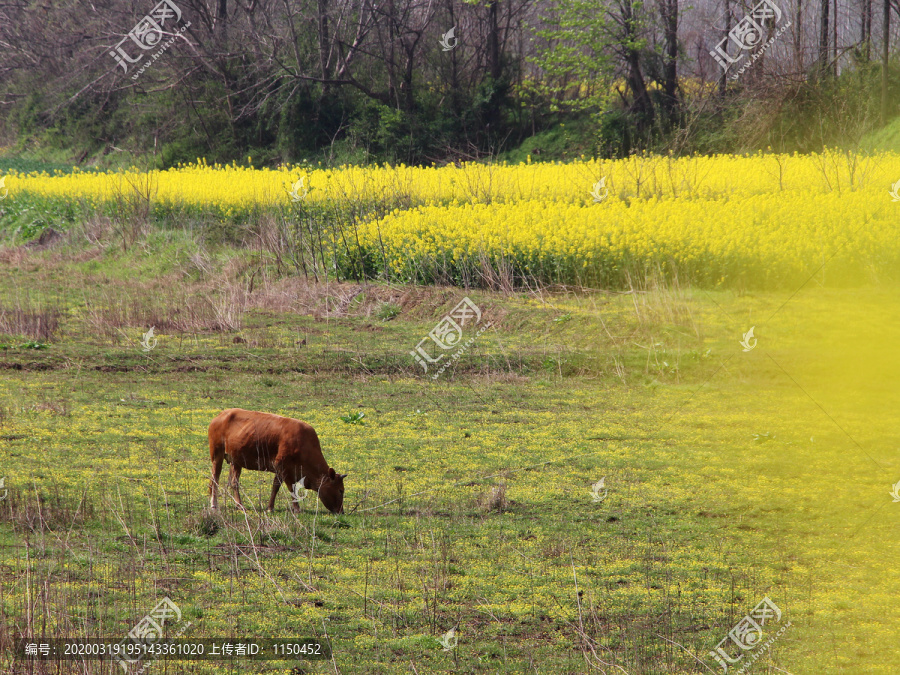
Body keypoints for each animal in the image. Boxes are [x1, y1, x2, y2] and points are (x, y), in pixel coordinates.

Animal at [208, 410, 348, 516]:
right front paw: (297, 509)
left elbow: (275, 487)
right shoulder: (284, 467)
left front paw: (270, 507)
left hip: (236, 461)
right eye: (340, 490)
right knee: (215, 479)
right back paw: (214, 505)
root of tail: (221, 415)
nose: (341, 512)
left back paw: (239, 505)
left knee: (233, 482)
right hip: (217, 455)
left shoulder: (279, 469)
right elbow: (292, 488)